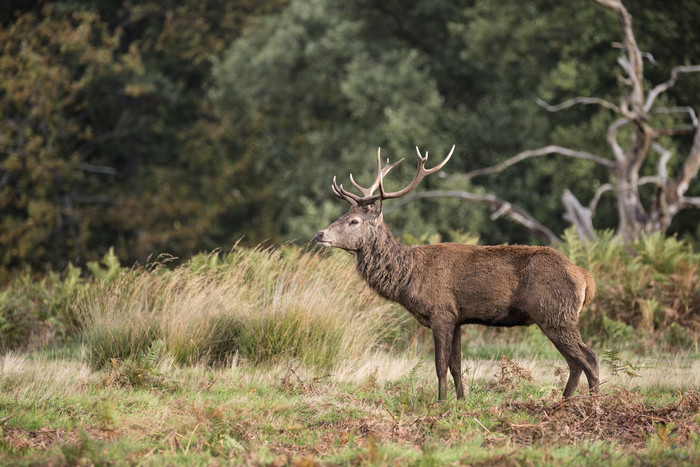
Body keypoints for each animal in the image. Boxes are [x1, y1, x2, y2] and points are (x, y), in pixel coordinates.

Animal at [314, 147, 600, 402]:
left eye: (354, 222)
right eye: (344, 214)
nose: (320, 234)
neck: (409, 278)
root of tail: (586, 278)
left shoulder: (440, 312)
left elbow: (440, 365)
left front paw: (440, 402)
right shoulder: (458, 317)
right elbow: (457, 366)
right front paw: (461, 401)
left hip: (555, 312)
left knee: (590, 358)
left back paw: (593, 405)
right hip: (557, 316)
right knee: (575, 363)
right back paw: (562, 403)